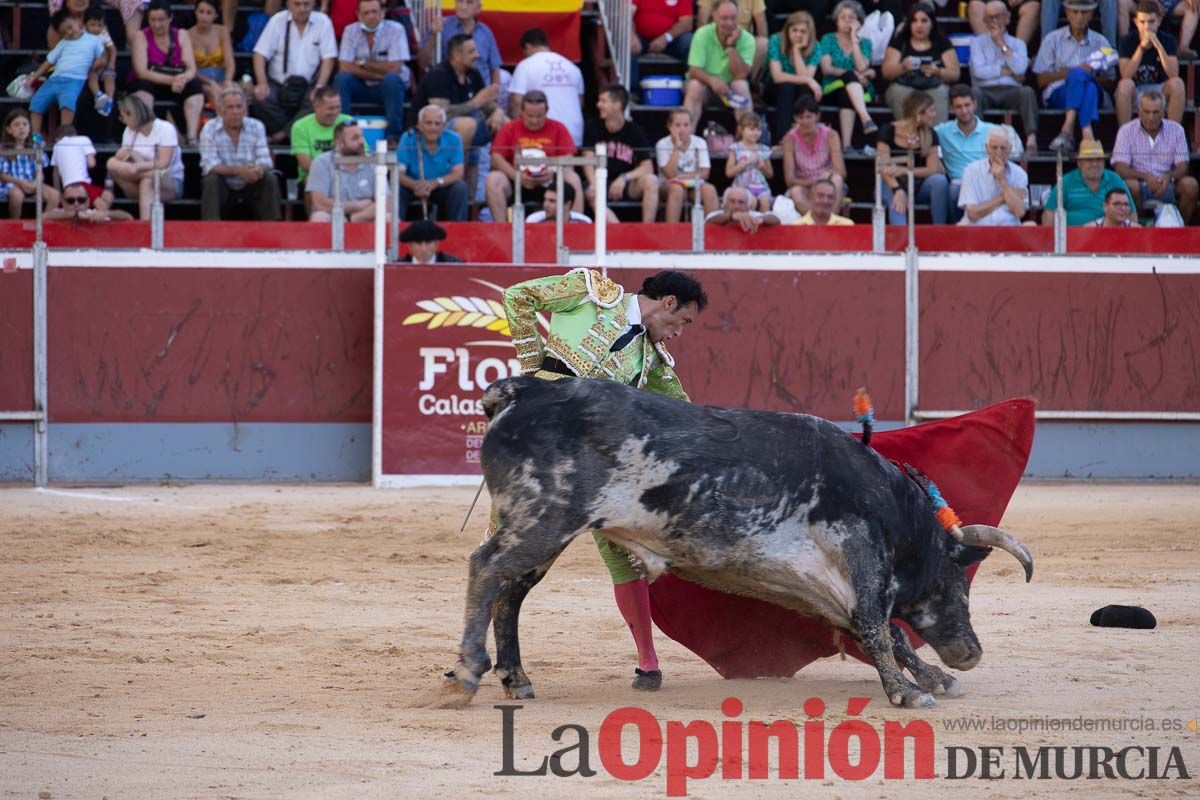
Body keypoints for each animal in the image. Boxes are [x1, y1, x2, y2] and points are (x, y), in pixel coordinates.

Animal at [441, 379, 1032, 710]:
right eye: (957, 580)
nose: (971, 653)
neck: (889, 497)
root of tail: (524, 390)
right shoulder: (861, 552)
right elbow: (877, 625)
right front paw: (911, 692)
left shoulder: (827, 583)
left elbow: (886, 632)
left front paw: (936, 678)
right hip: (544, 519)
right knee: (484, 568)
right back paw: (468, 674)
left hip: (542, 530)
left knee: (511, 591)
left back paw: (516, 680)